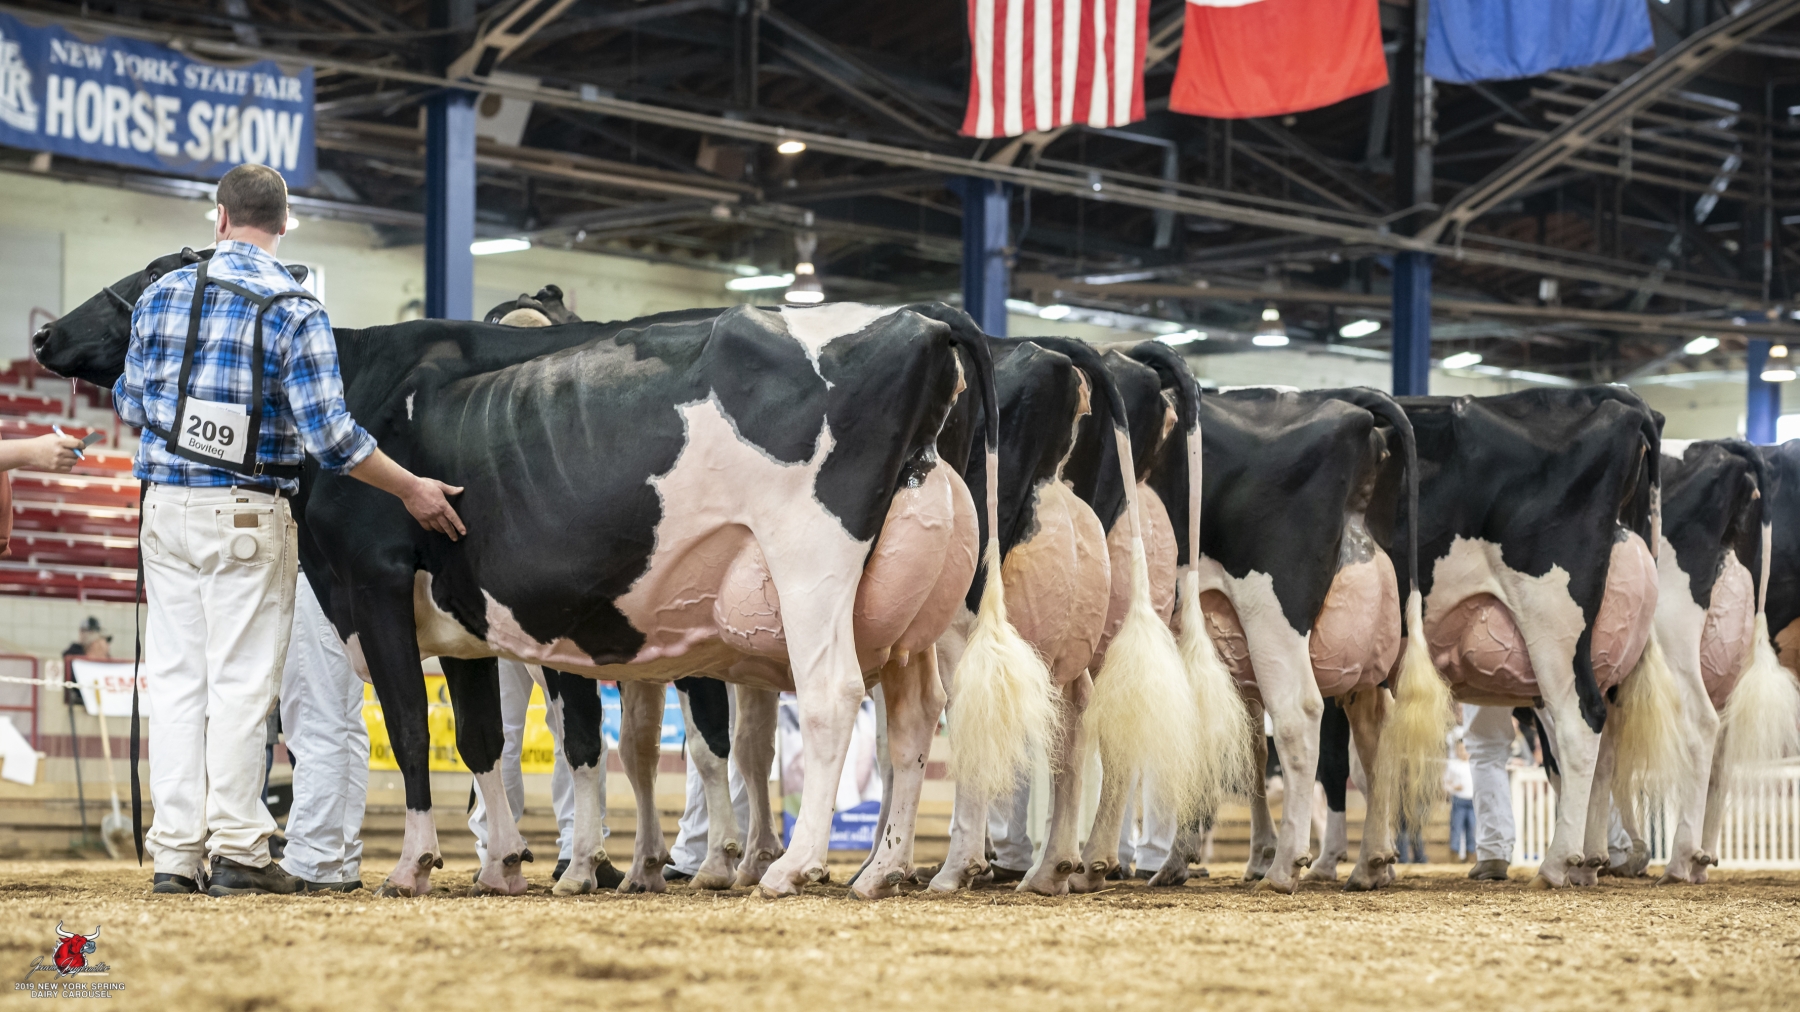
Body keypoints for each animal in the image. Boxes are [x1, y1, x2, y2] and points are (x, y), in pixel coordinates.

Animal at [37, 258, 1048, 900]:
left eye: (149, 284)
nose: (44, 331)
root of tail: (924, 317)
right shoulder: (465, 619)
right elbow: (482, 740)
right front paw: (504, 865)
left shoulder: (373, 584)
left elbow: (414, 731)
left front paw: (413, 866)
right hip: (922, 602)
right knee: (921, 721)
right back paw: (894, 870)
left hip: (813, 561)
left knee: (837, 699)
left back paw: (792, 869)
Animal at [1391, 387, 1682, 889]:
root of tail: (1618, 396)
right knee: (1602, 745)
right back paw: (1596, 860)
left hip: (1551, 620)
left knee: (1582, 724)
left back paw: (1560, 862)